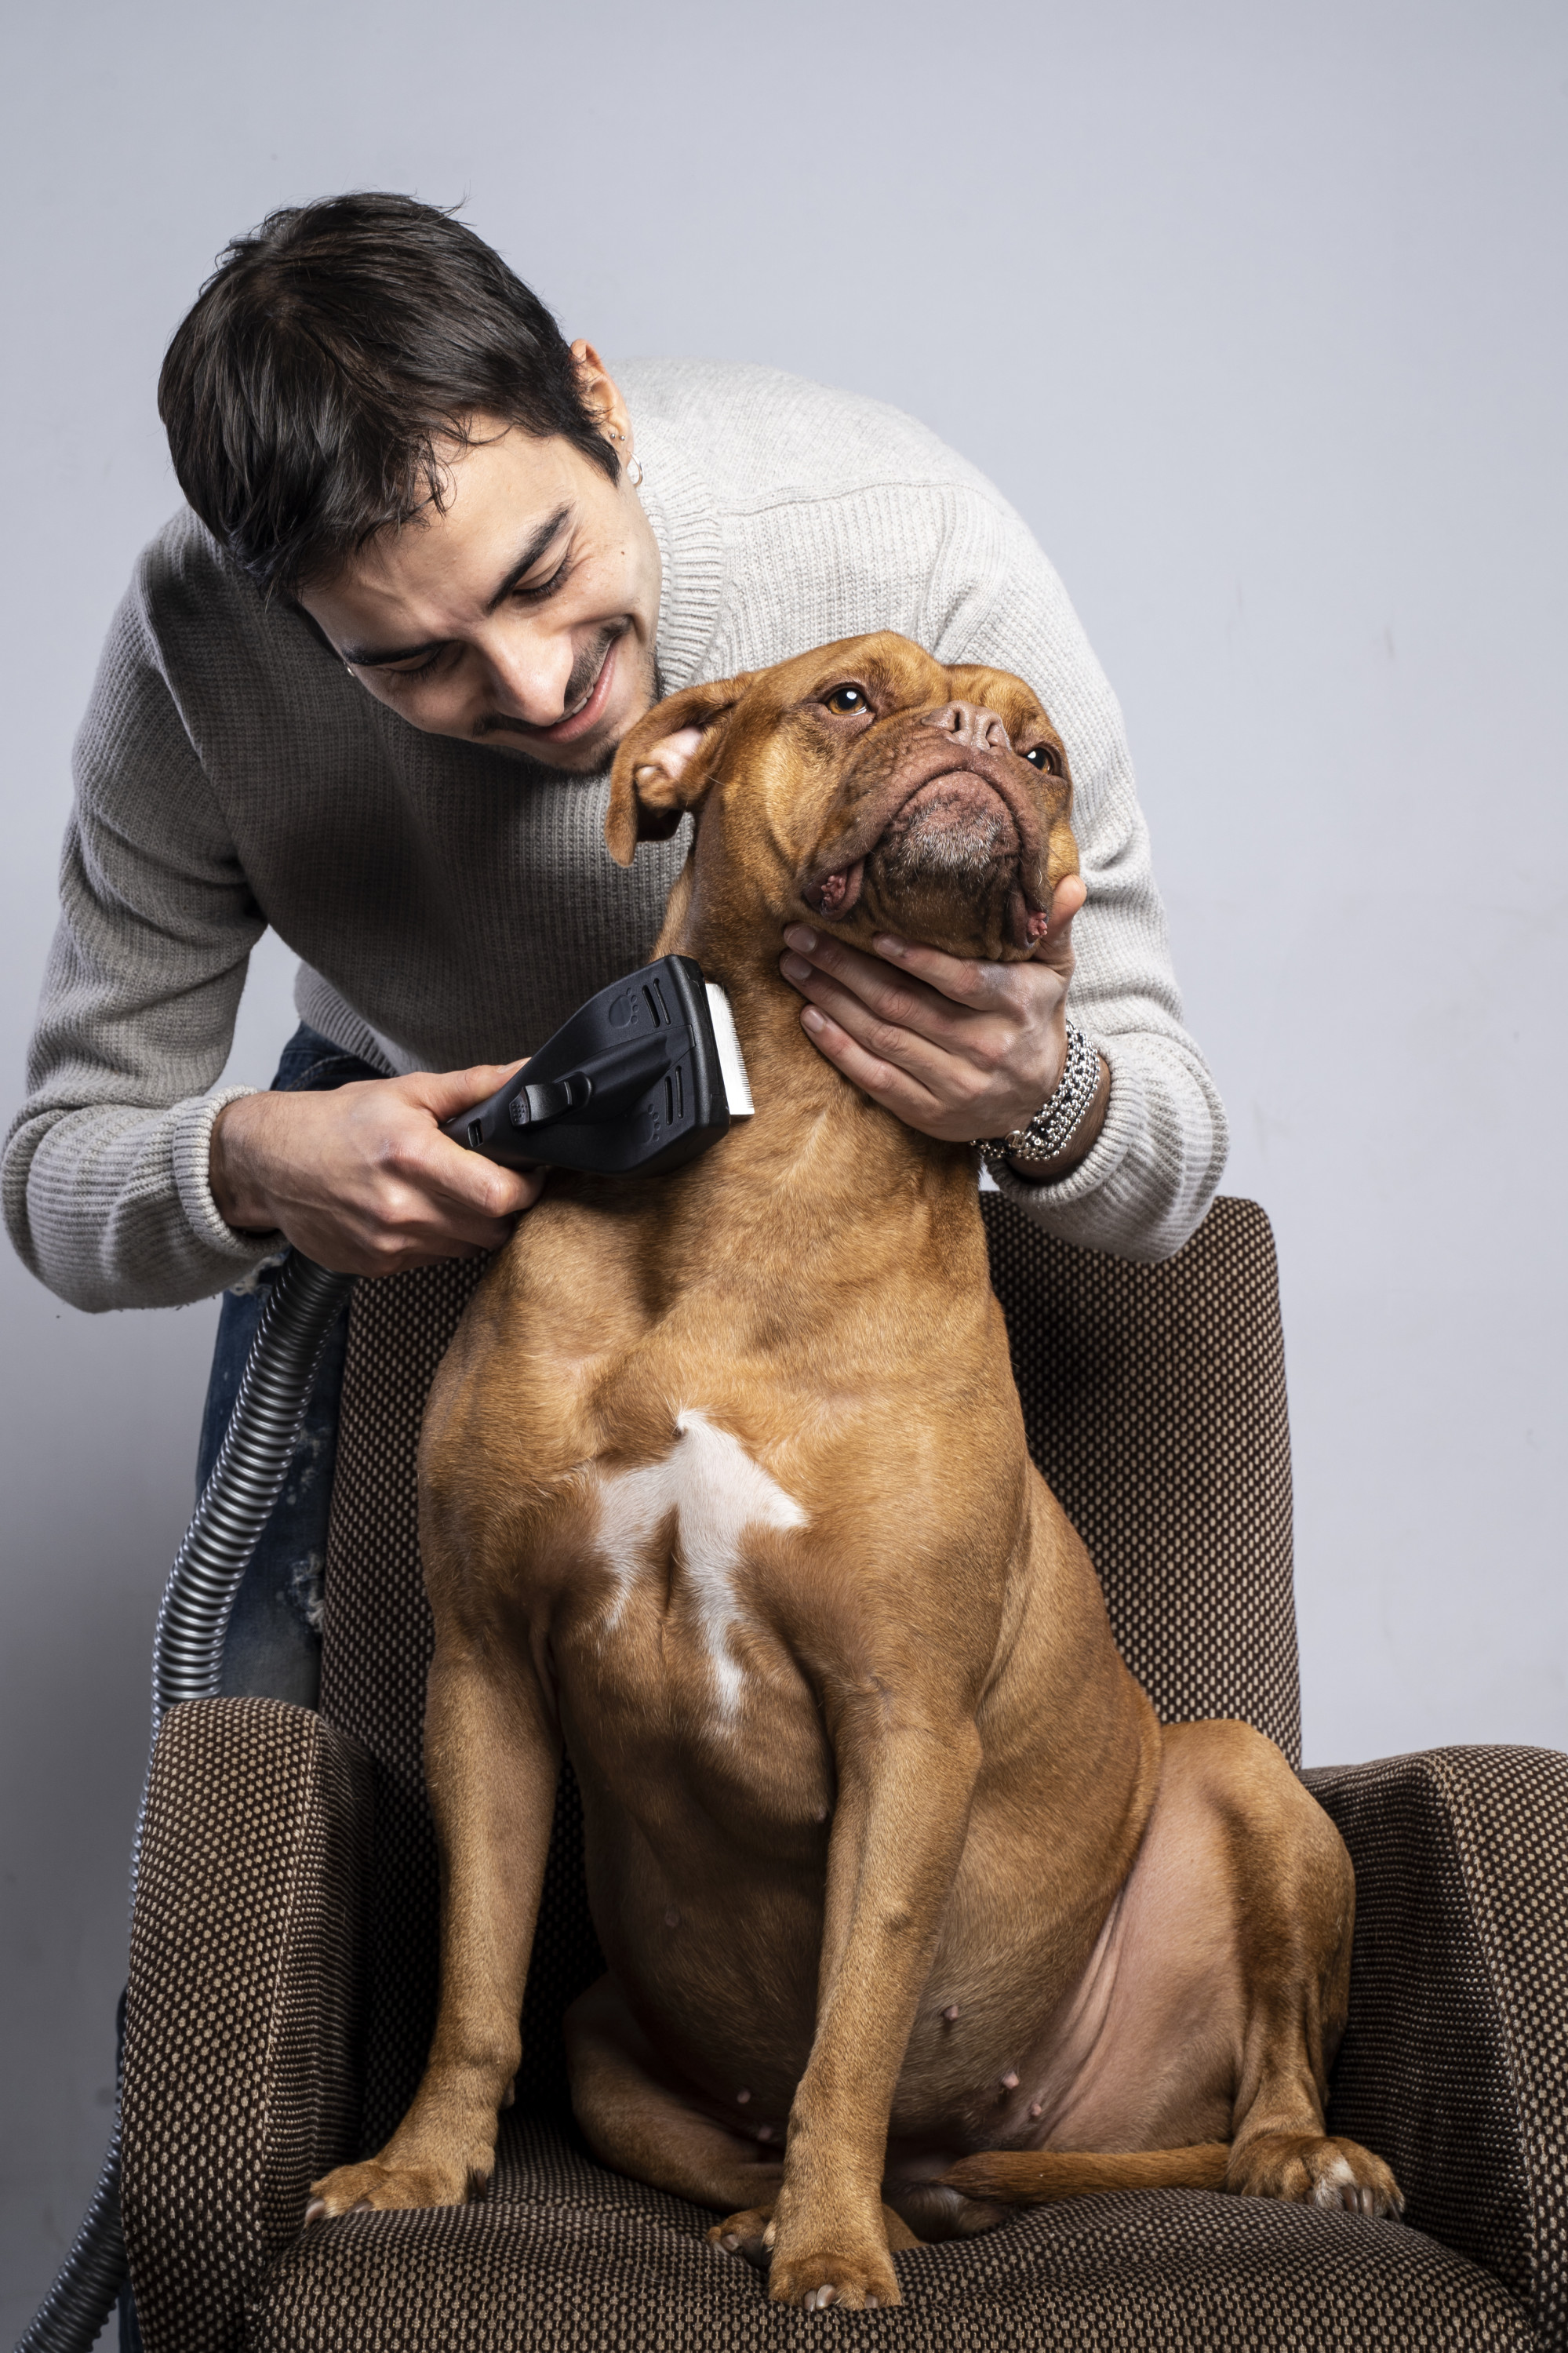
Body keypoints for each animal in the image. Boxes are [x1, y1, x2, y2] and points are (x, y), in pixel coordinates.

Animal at [301, 635, 1393, 2306]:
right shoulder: (482, 1678)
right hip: (607, 2043)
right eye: (846, 699)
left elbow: (853, 2031)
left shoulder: (904, 1727)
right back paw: (783, 2212)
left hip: (1243, 1781)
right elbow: (475, 1984)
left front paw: (826, 2251)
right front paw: (421, 2172)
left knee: (1266, 2068)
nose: (973, 741)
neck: (770, 1153)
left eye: (1043, 752)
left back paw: (1295, 2162)